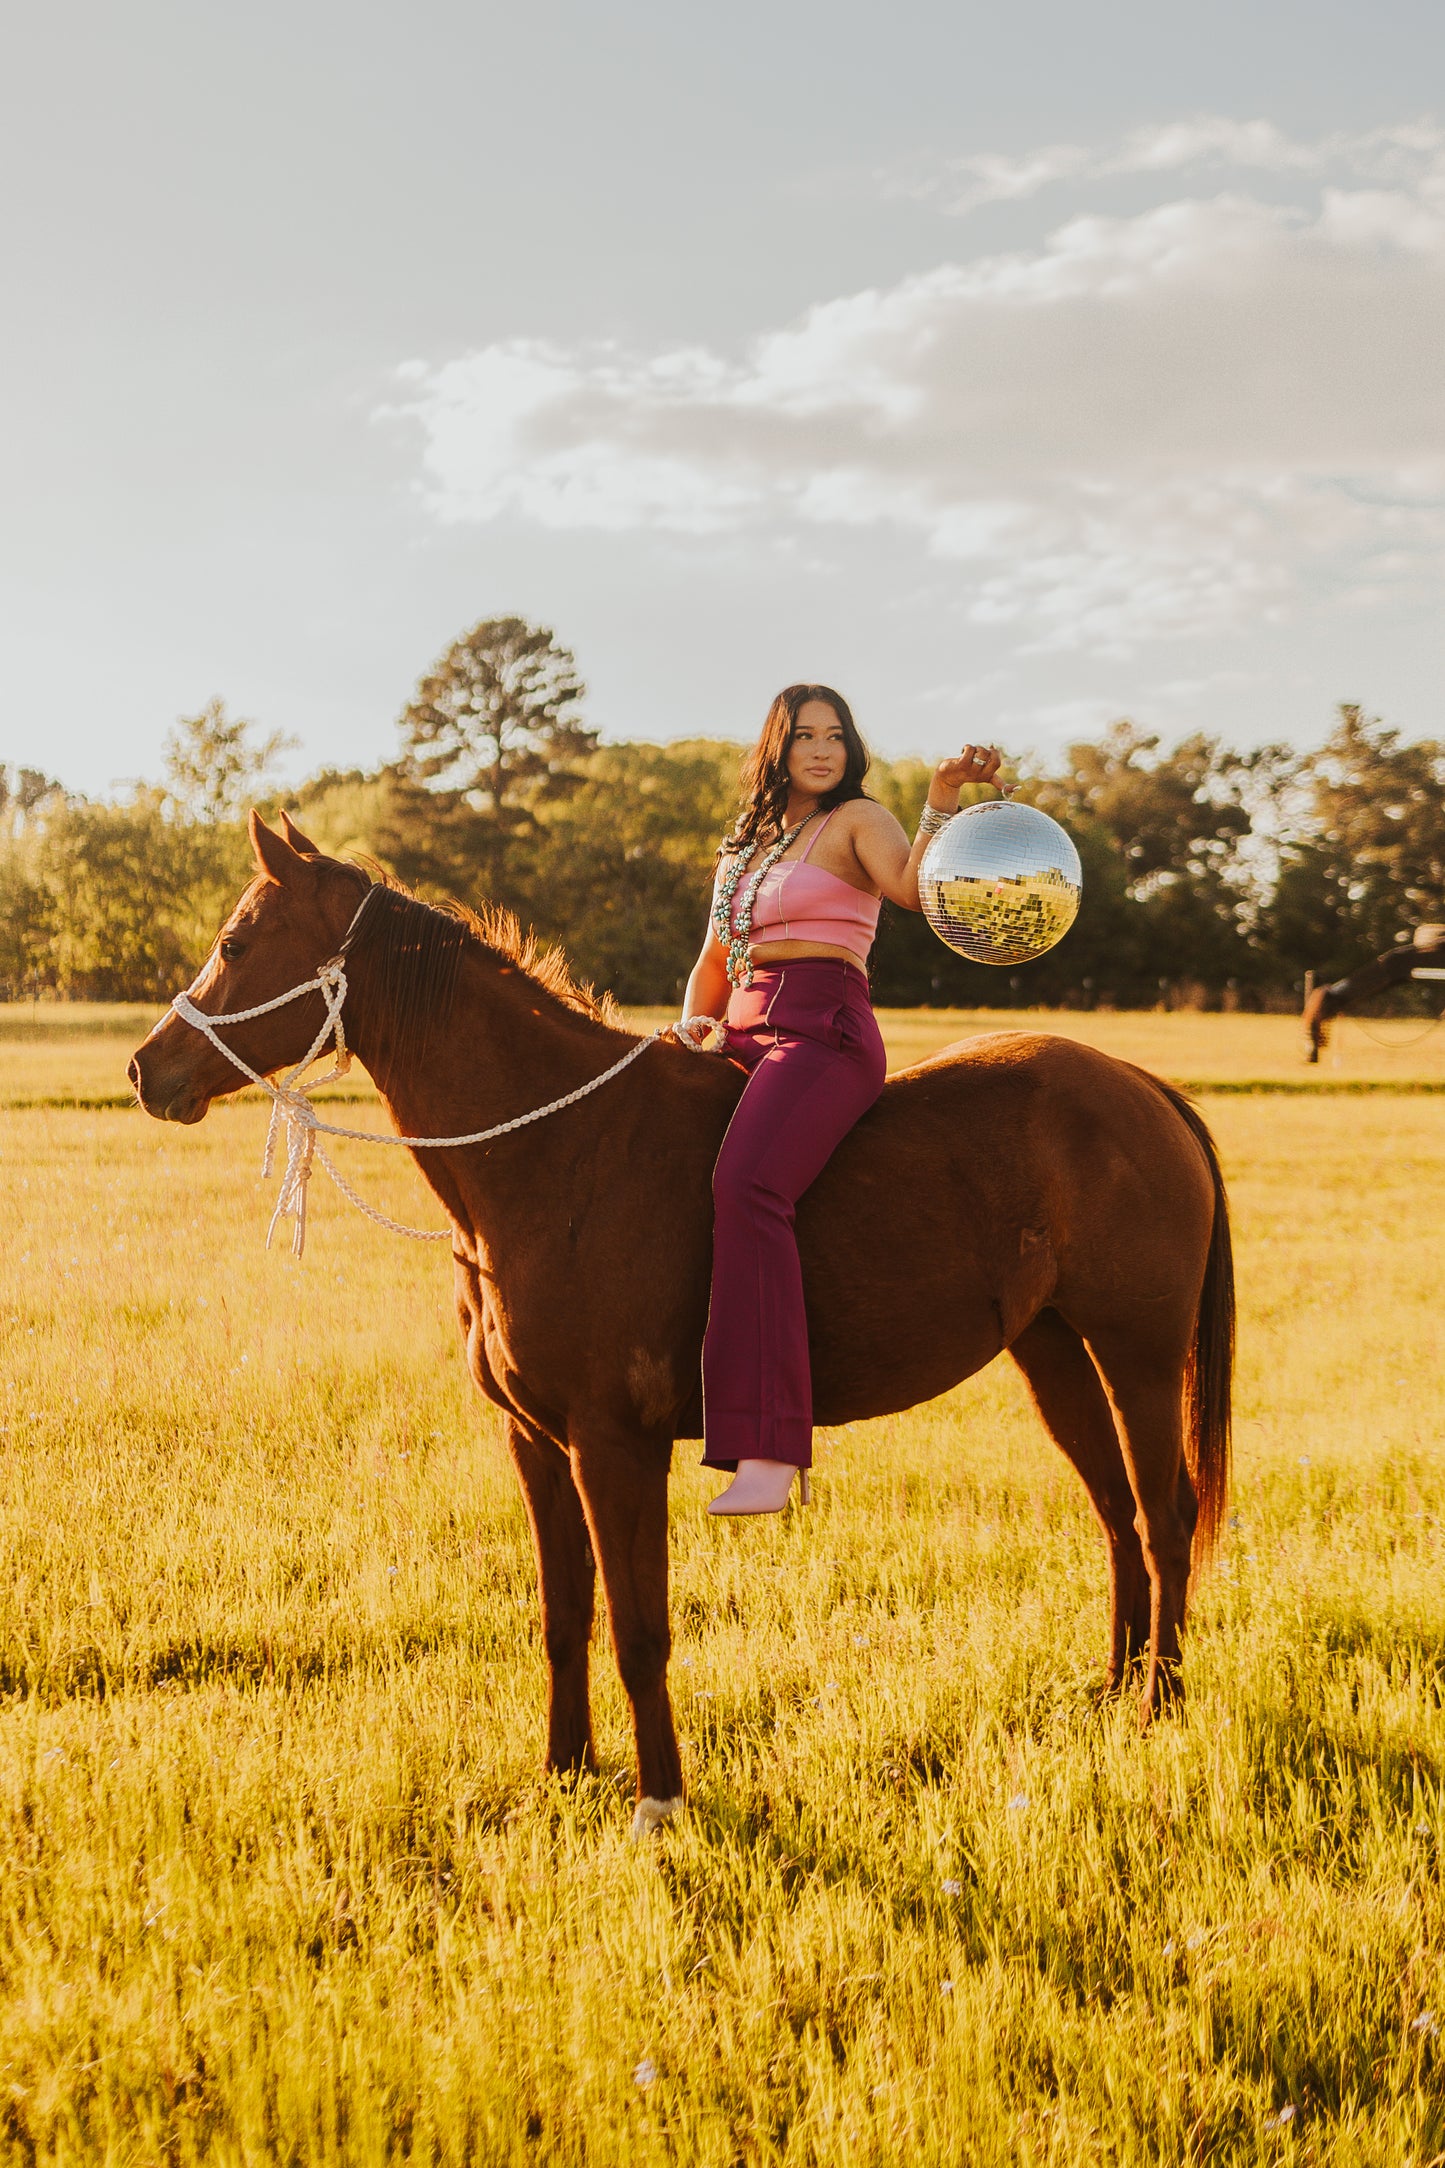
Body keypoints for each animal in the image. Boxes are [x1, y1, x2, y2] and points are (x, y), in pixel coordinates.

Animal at [132, 815, 1230, 1829]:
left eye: (235, 941)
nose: (148, 1069)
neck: (557, 1150)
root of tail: (1141, 1089)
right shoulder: (535, 1441)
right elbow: (563, 1617)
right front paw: (562, 1771)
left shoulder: (615, 1445)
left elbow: (636, 1626)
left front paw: (658, 1798)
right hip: (1050, 1354)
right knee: (1115, 1514)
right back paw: (1113, 1686)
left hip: (1137, 1357)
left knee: (1164, 1514)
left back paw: (1158, 1702)